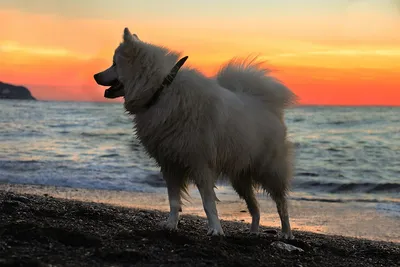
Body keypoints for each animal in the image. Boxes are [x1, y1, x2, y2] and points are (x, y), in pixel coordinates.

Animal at [94, 28, 296, 240]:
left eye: (114, 64)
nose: (95, 75)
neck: (161, 89)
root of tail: (268, 106)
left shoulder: (201, 164)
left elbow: (208, 203)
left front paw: (215, 229)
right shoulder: (170, 164)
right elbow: (174, 200)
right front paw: (171, 225)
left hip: (269, 171)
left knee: (281, 204)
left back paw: (286, 233)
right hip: (239, 177)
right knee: (254, 207)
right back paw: (254, 231)